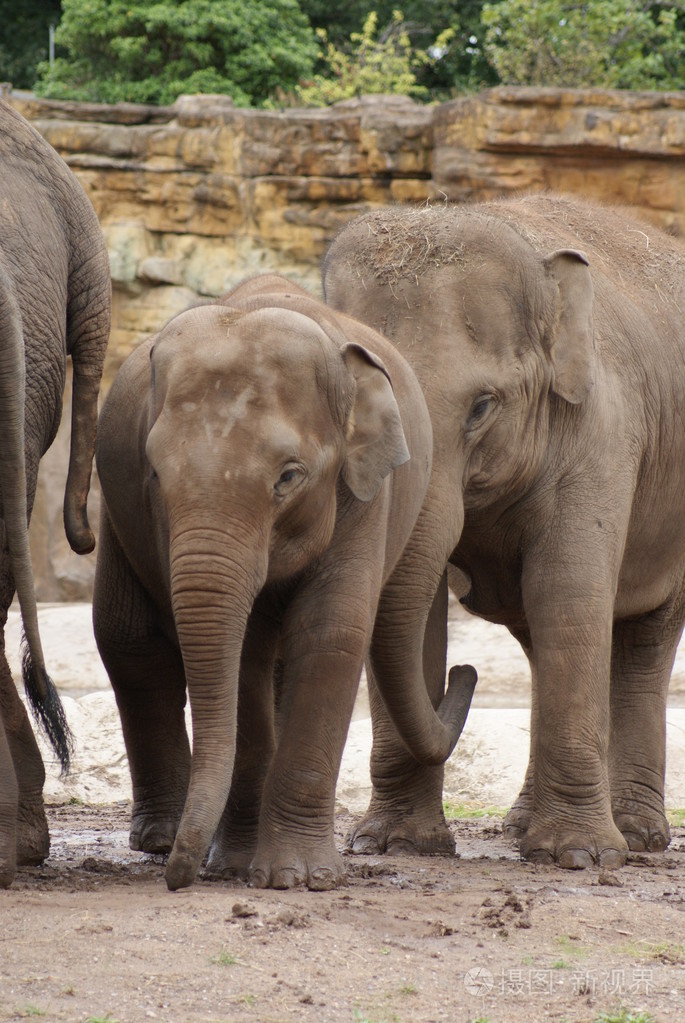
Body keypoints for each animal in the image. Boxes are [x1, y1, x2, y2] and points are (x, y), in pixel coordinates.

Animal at [92, 273, 476, 892]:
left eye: (289, 477)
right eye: (154, 474)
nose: (180, 877)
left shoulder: (364, 494)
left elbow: (330, 633)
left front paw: (300, 878)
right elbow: (242, 656)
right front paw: (238, 868)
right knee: (130, 641)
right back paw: (163, 841)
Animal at [322, 192, 685, 870]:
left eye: (482, 407)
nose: (467, 674)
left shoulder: (599, 432)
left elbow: (567, 595)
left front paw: (580, 857)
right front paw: (394, 844)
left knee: (643, 639)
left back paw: (638, 838)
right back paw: (521, 827)